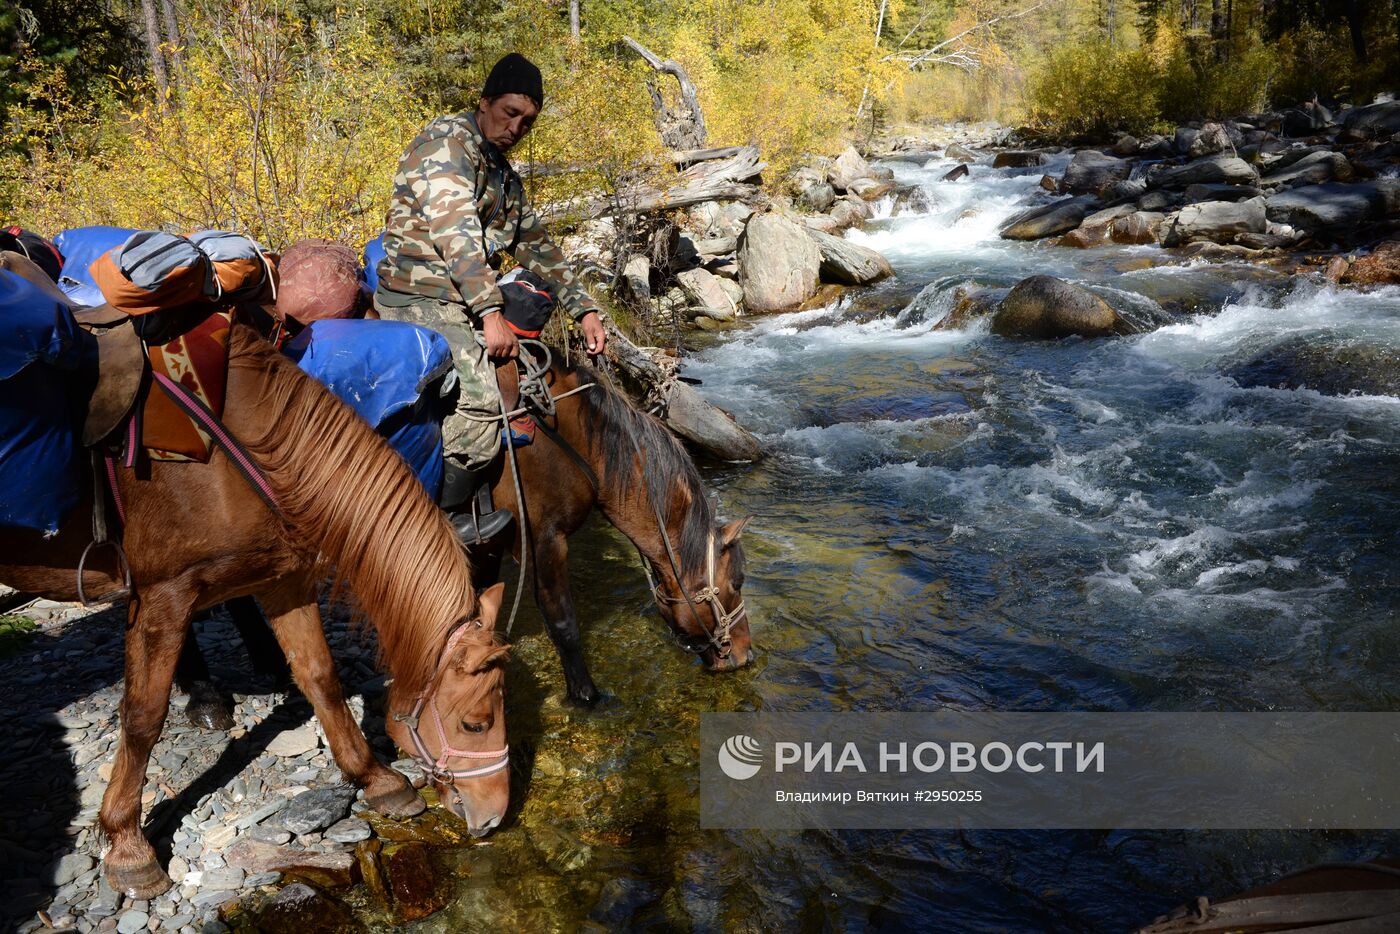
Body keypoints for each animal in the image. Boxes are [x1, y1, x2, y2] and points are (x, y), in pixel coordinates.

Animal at [0, 324, 515, 901]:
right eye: (476, 723)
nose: (496, 817)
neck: (240, 455)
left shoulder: (283, 580)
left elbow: (321, 679)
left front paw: (376, 779)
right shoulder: (163, 596)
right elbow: (142, 716)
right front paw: (129, 846)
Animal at [476, 347, 756, 705]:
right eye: (737, 582)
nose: (747, 654)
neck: (578, 445)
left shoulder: (486, 547)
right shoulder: (544, 539)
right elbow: (563, 623)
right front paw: (587, 696)